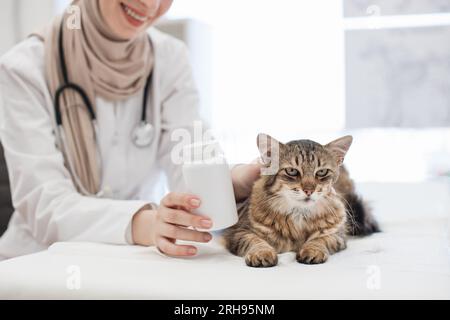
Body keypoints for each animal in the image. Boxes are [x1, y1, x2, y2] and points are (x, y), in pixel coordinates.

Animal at [223, 134, 378, 268]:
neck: (298, 215)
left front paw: (312, 250)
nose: (309, 190)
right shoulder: (240, 231)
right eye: (292, 171)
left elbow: (320, 239)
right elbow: (255, 241)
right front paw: (262, 253)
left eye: (322, 172)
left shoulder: (336, 234)